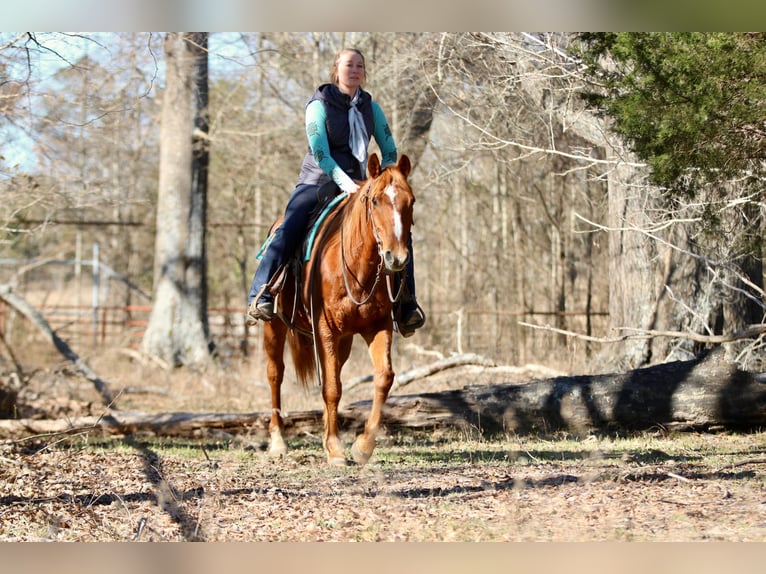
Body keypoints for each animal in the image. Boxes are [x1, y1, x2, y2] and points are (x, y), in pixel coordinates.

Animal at [262, 153, 414, 466]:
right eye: (375, 200)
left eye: (411, 201)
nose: (397, 258)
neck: (358, 267)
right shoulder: (325, 329)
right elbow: (331, 388)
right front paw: (334, 449)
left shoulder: (377, 327)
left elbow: (383, 378)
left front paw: (362, 447)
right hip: (274, 326)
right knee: (275, 374)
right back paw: (278, 441)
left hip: (343, 340)